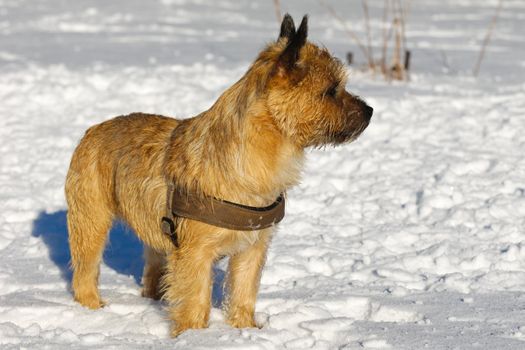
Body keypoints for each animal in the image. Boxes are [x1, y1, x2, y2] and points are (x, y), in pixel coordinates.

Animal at [64, 14, 372, 336]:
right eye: (331, 90)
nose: (370, 111)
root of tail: (92, 130)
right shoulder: (196, 254)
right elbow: (195, 301)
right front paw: (193, 335)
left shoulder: (252, 249)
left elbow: (244, 293)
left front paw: (244, 329)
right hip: (91, 221)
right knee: (85, 270)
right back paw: (93, 308)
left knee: (152, 267)